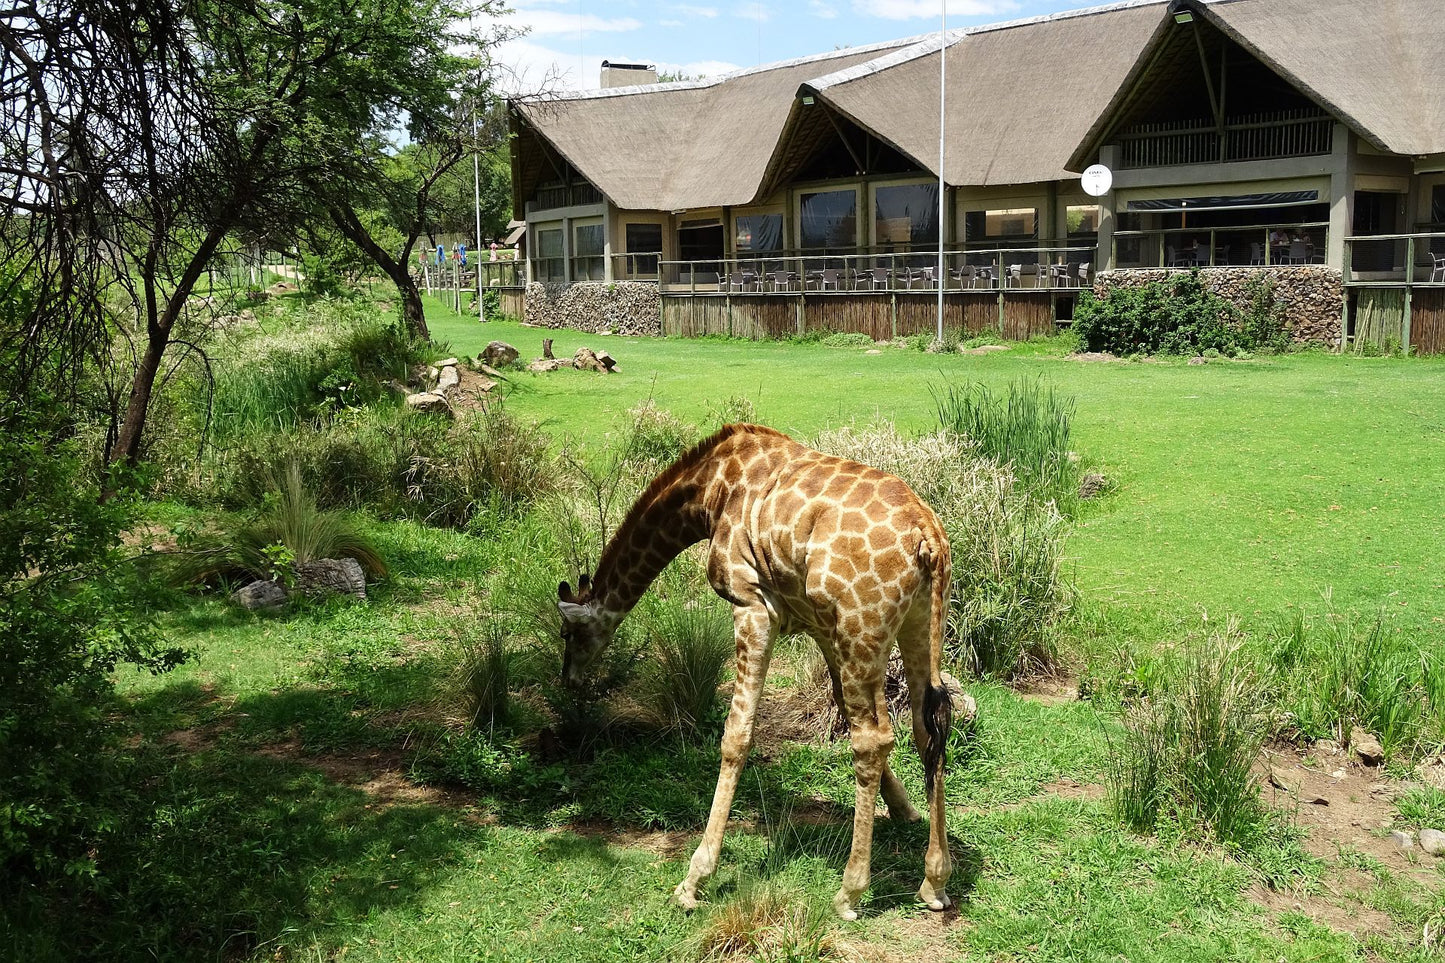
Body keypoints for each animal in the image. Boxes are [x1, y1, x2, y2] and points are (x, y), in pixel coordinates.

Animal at [557, 419, 953, 913]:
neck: (708, 493)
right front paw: (903, 809)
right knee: (928, 726)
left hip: (862, 625)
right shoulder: (816, 622)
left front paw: (694, 879)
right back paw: (934, 880)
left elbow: (737, 735)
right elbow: (838, 703)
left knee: (873, 739)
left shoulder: (753, 605)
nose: (568, 681)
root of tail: (928, 537)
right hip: (916, 621)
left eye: (567, 635)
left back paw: (850, 890)